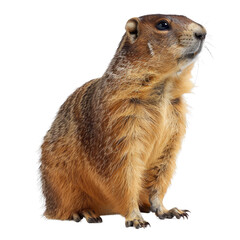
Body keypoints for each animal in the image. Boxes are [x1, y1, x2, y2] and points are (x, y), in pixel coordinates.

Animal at [39, 14, 206, 228]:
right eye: (163, 24)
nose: (203, 32)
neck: (165, 85)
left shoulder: (175, 125)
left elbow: (161, 172)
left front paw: (167, 210)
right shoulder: (119, 122)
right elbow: (123, 171)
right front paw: (135, 218)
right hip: (60, 182)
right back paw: (84, 212)